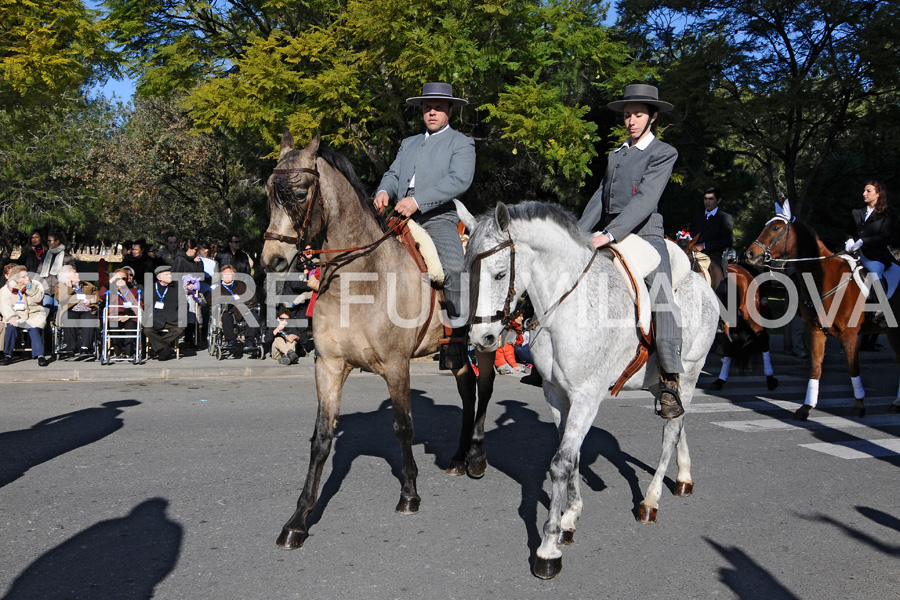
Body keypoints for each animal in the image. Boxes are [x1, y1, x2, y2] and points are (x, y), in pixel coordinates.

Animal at [260, 134, 500, 552]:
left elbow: (403, 426)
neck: (361, 278)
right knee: (467, 388)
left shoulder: (396, 365)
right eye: (269, 193)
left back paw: (475, 458)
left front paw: (409, 494)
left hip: (483, 340)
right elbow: (321, 438)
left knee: (483, 389)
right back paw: (458, 456)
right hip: (453, 347)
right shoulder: (329, 366)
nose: (271, 260)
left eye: (300, 192)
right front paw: (298, 520)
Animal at [464, 203, 716, 580]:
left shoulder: (586, 397)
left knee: (671, 431)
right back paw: (684, 477)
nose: (483, 339)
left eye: (498, 275)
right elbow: (572, 455)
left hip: (690, 372)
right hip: (660, 381)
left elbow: (561, 463)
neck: (567, 304)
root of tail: (702, 280)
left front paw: (548, 547)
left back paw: (650, 501)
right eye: (468, 271)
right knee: (679, 420)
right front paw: (570, 516)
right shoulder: (557, 395)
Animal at [744, 199, 900, 420]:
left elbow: (853, 368)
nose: (749, 254)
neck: (824, 276)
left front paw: (859, 406)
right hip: (892, 331)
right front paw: (806, 407)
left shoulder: (850, 335)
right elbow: (815, 367)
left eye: (775, 228)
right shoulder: (815, 330)